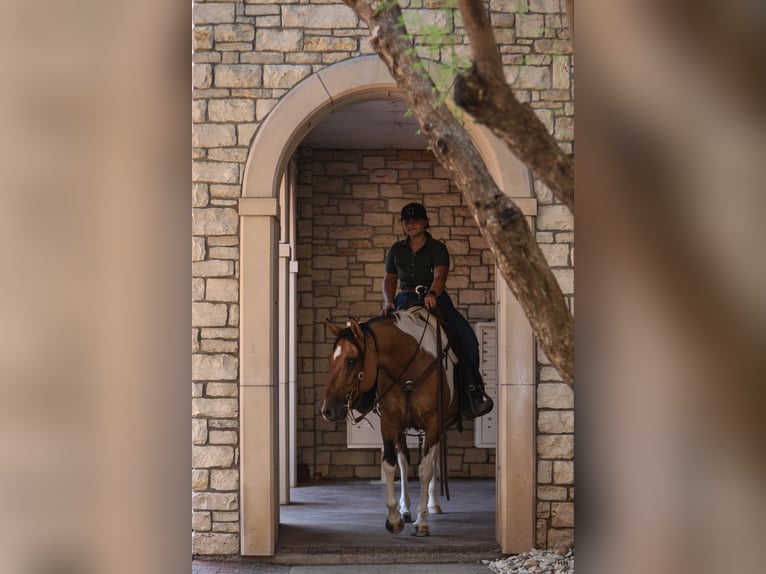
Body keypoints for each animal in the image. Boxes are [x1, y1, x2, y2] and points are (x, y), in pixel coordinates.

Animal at [320, 310, 460, 540]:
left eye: (351, 360)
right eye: (330, 360)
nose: (326, 410)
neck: (410, 370)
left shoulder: (433, 422)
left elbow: (425, 469)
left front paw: (422, 522)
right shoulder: (389, 421)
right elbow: (391, 464)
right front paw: (394, 517)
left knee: (433, 462)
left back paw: (433, 503)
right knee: (405, 462)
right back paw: (407, 509)